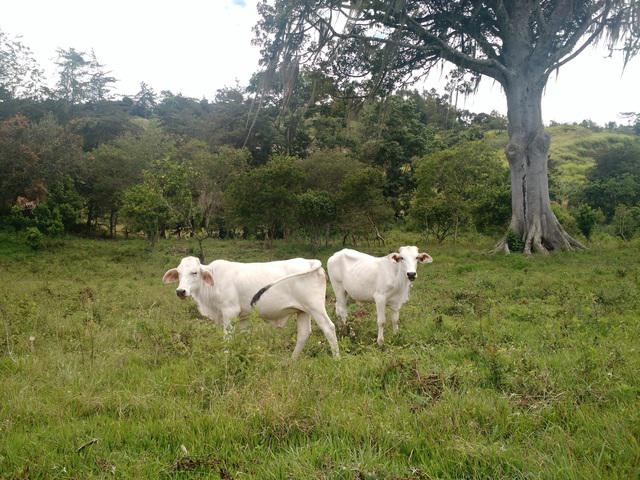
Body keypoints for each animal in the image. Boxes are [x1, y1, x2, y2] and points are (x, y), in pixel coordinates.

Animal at [162, 256, 340, 358]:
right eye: (178, 273)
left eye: (194, 272)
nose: (180, 291)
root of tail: (308, 262)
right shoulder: (244, 316)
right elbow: (245, 337)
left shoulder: (229, 312)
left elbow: (228, 340)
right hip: (303, 310)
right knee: (303, 334)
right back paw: (292, 361)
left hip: (316, 307)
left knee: (329, 328)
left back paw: (337, 359)